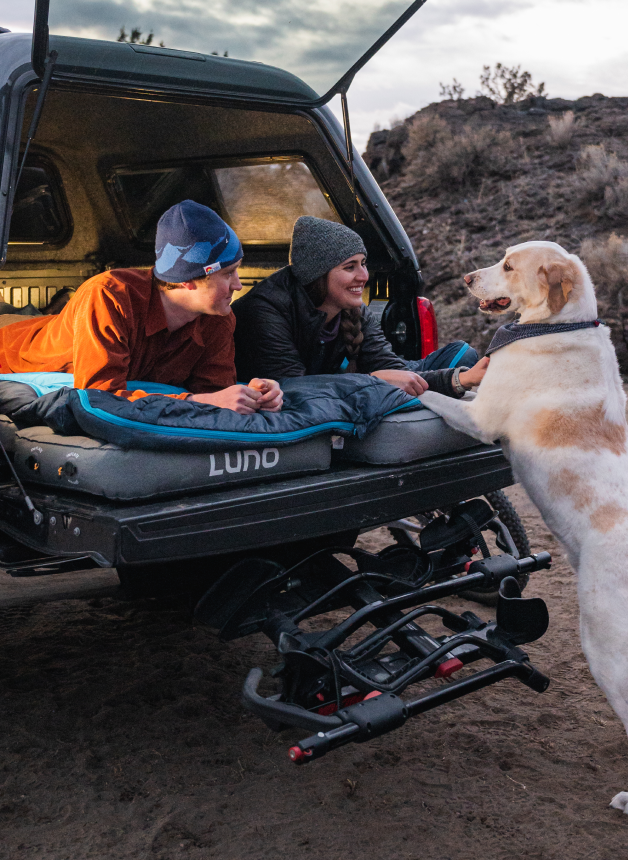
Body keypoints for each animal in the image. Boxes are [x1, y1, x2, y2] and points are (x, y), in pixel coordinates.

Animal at [418, 242, 628, 812]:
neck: (557, 325)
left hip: (604, 645)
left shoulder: (480, 417)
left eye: (510, 266)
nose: (466, 277)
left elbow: (427, 395)